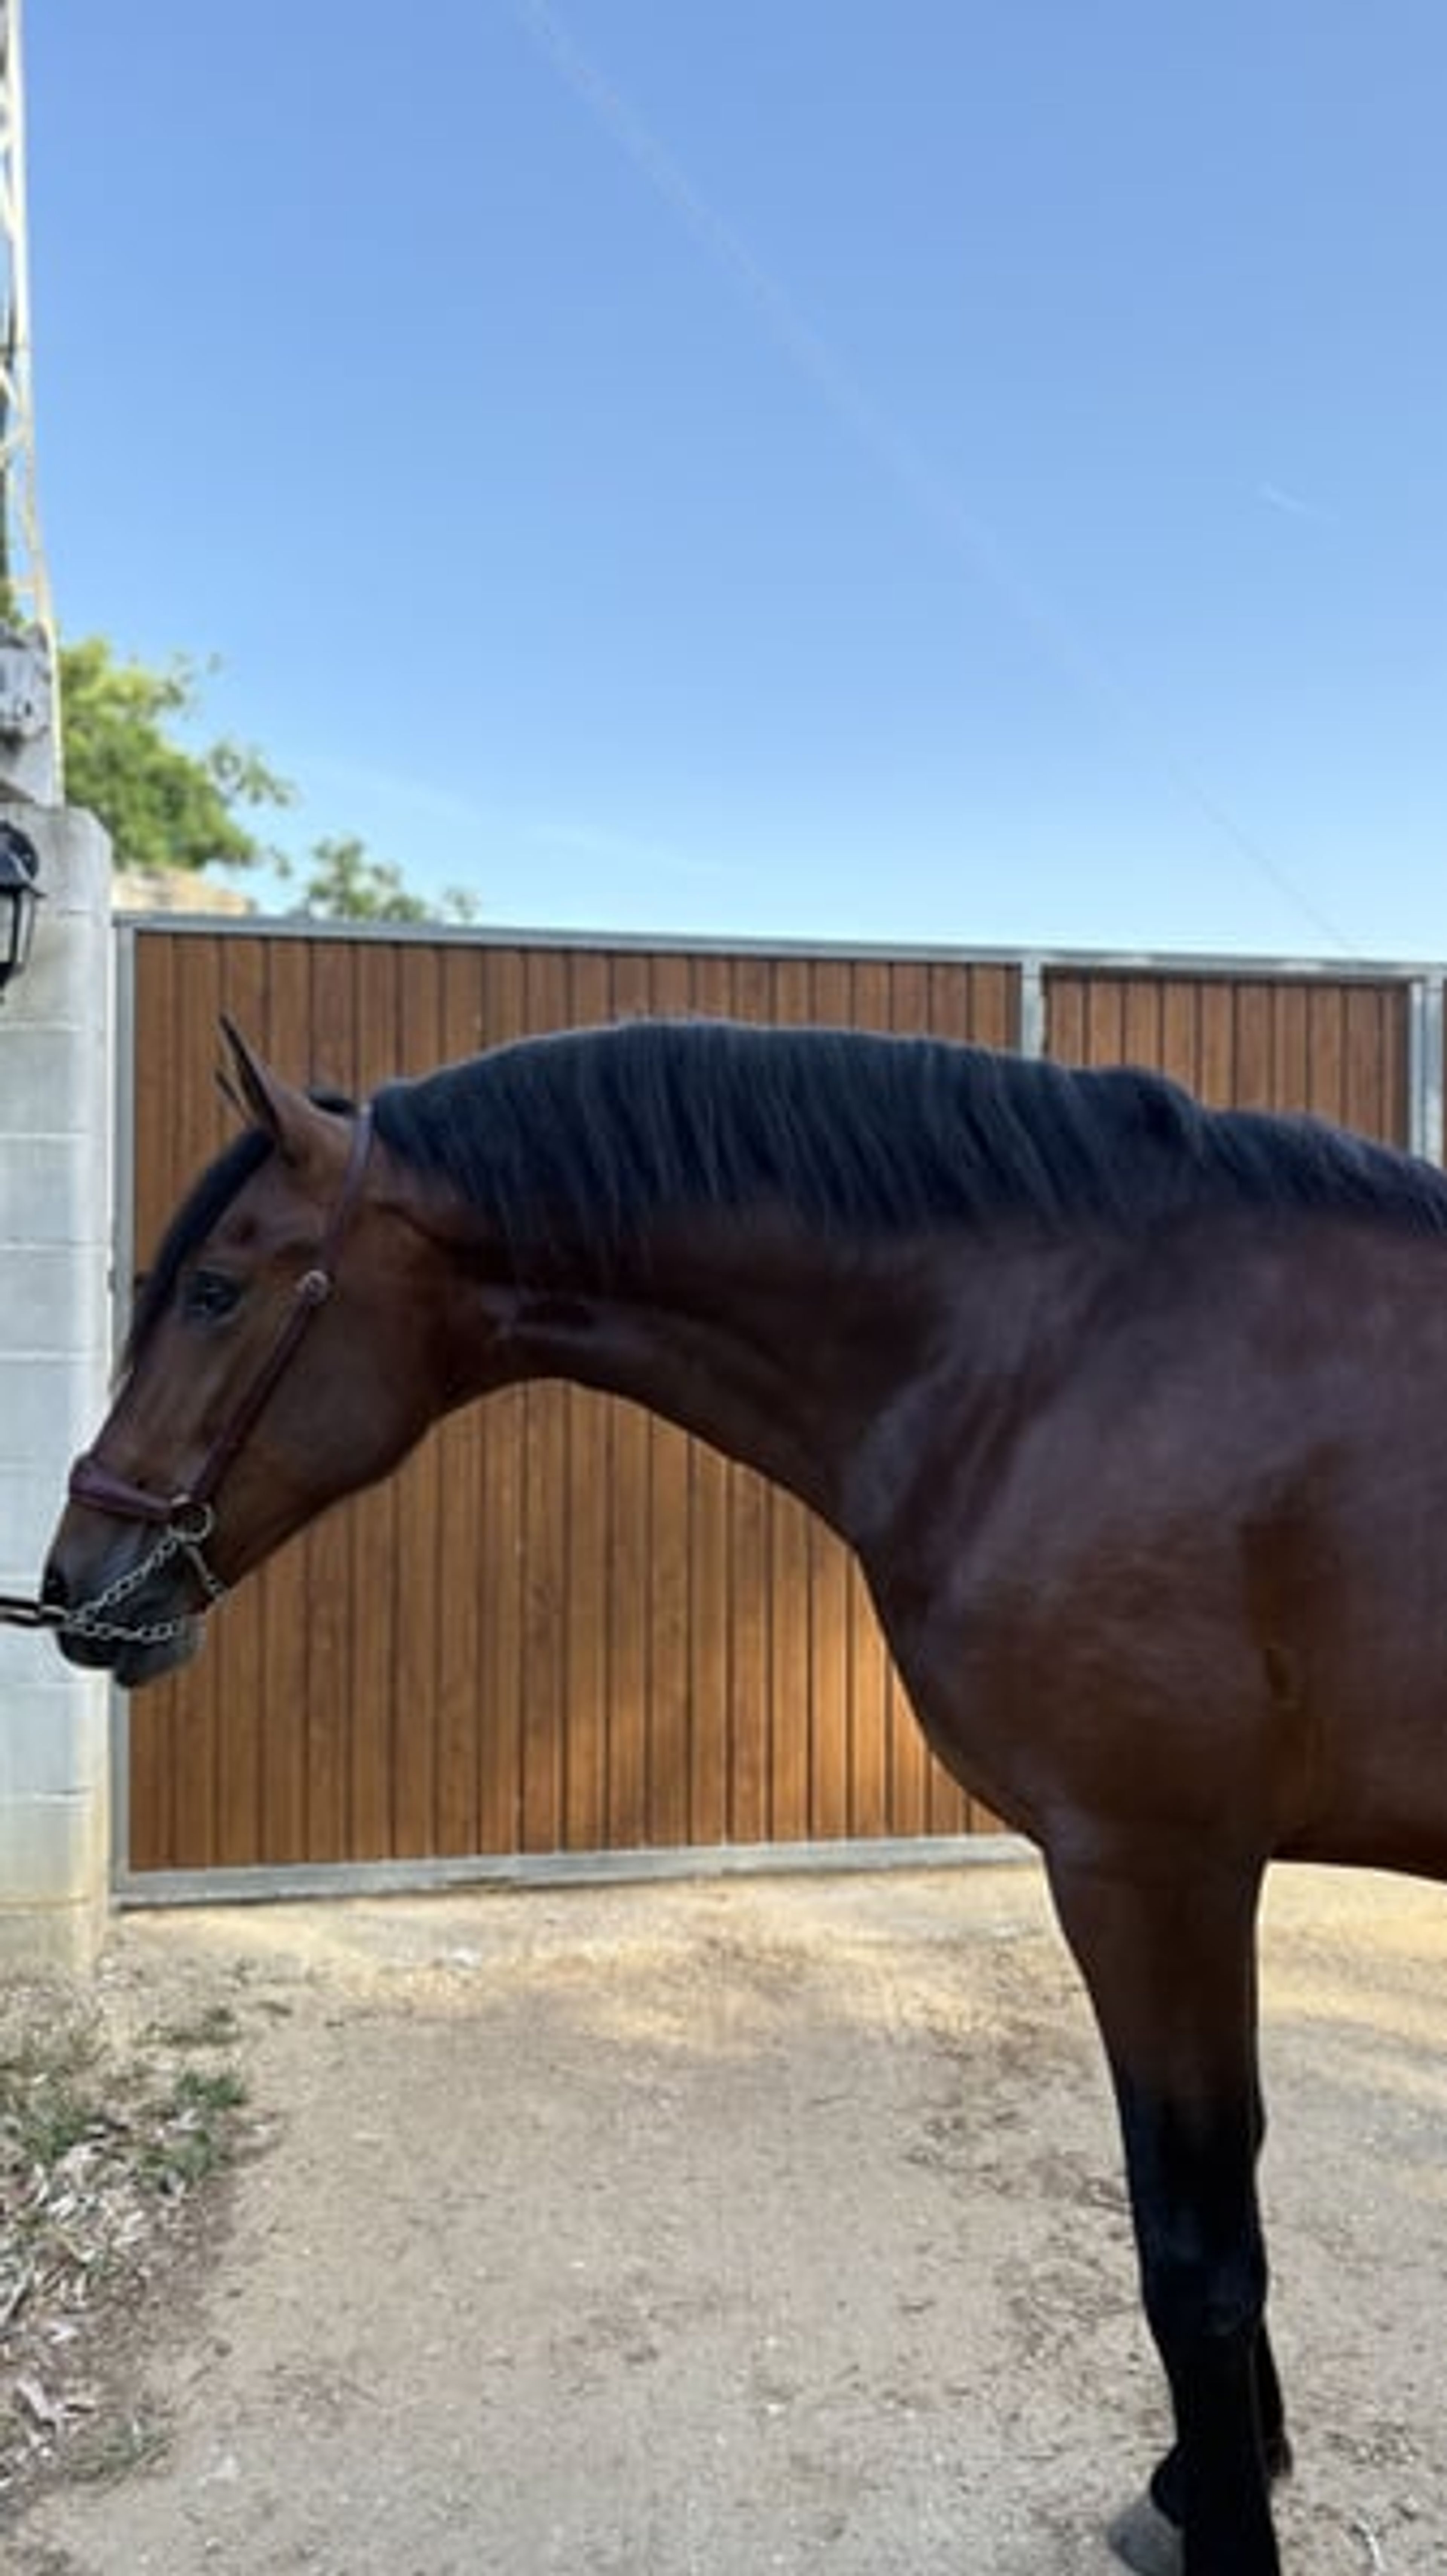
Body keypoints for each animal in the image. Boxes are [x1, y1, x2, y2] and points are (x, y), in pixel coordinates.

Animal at [36, 1009, 1447, 2574]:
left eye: (216, 1288)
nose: (74, 1582)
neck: (1068, 1357)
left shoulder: (1152, 1867)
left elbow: (1196, 2247)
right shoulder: (1184, 1879)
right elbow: (1227, 2182)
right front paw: (1209, 2474)